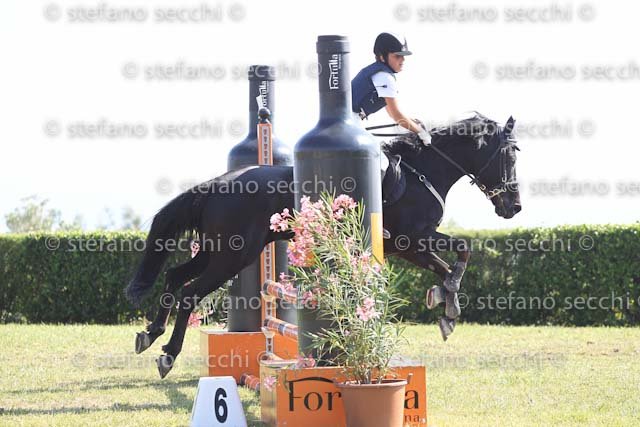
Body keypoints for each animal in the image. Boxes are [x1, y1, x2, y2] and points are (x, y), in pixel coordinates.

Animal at [125, 113, 522, 378]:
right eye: (512, 155)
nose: (513, 207)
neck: (424, 170)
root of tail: (215, 185)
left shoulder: (411, 246)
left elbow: (447, 263)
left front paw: (447, 308)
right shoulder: (412, 238)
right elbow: (462, 250)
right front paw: (449, 301)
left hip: (216, 250)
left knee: (175, 277)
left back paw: (150, 334)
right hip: (233, 255)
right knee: (190, 292)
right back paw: (168, 354)